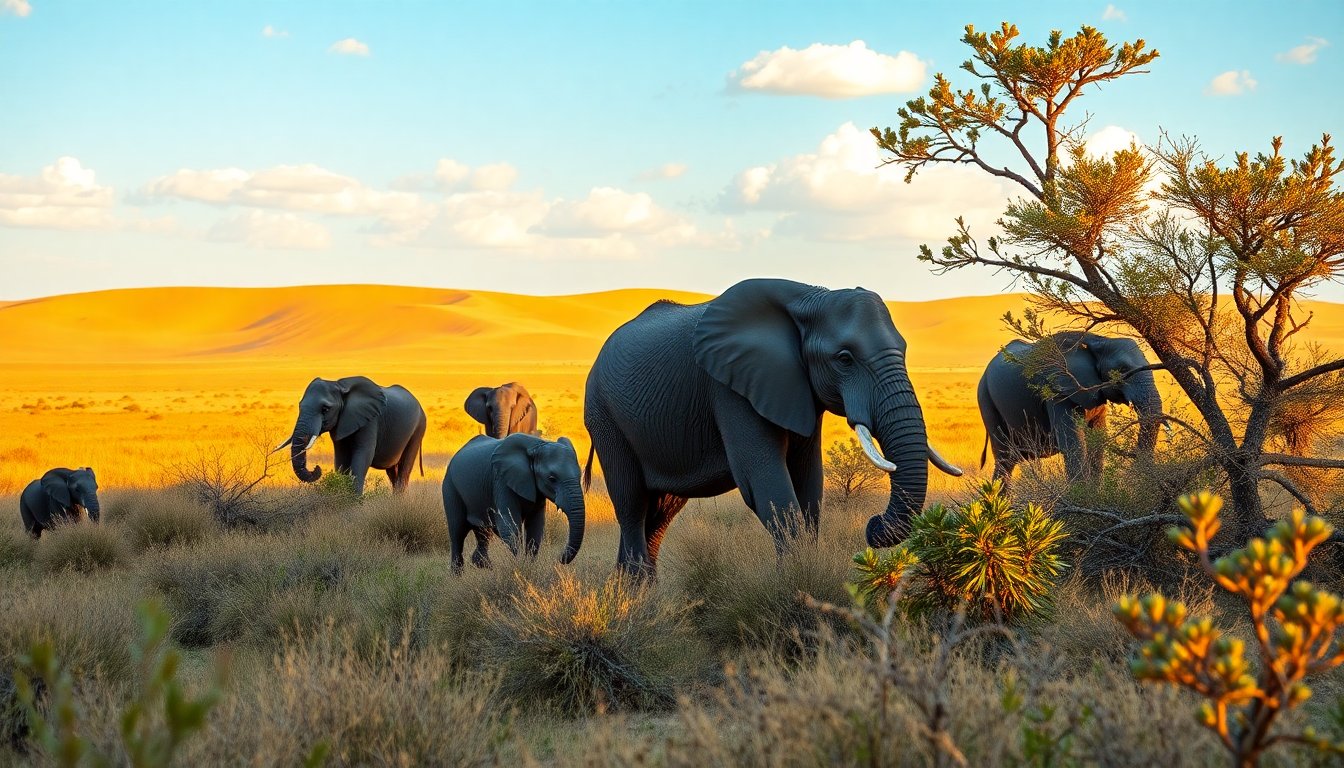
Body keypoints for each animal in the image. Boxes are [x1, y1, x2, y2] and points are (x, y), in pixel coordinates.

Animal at [275, 376, 427, 495]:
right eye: (300, 406)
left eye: (325, 409)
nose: (317, 468)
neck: (339, 386)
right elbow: (341, 457)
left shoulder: (371, 420)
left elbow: (363, 455)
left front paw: (355, 502)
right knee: (392, 472)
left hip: (418, 428)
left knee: (404, 468)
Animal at [441, 433, 585, 572]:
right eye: (551, 478)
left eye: (580, 476)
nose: (560, 559)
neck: (537, 445)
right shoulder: (501, 480)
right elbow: (509, 526)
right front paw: (519, 566)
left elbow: (535, 526)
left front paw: (528, 566)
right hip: (450, 487)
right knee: (457, 531)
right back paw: (457, 574)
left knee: (483, 531)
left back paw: (484, 566)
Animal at [583, 278, 962, 576]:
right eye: (844, 359)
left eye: (903, 350)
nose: (872, 525)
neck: (809, 297)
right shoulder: (730, 387)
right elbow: (767, 486)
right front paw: (794, 582)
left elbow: (809, 485)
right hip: (604, 416)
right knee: (632, 505)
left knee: (660, 514)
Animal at [977, 331, 1164, 486]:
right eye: (1122, 369)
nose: (1133, 454)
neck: (1099, 340)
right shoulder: (1058, 390)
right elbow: (1073, 444)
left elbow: (1097, 440)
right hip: (986, 399)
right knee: (1005, 458)